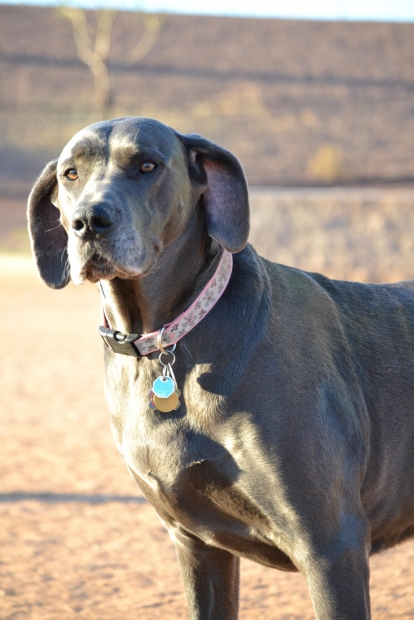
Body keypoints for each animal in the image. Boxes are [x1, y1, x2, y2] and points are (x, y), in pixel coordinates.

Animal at [27, 115, 414, 616]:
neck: (165, 341)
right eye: (70, 174)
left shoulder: (332, 546)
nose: (88, 222)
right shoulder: (196, 544)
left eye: (147, 165)